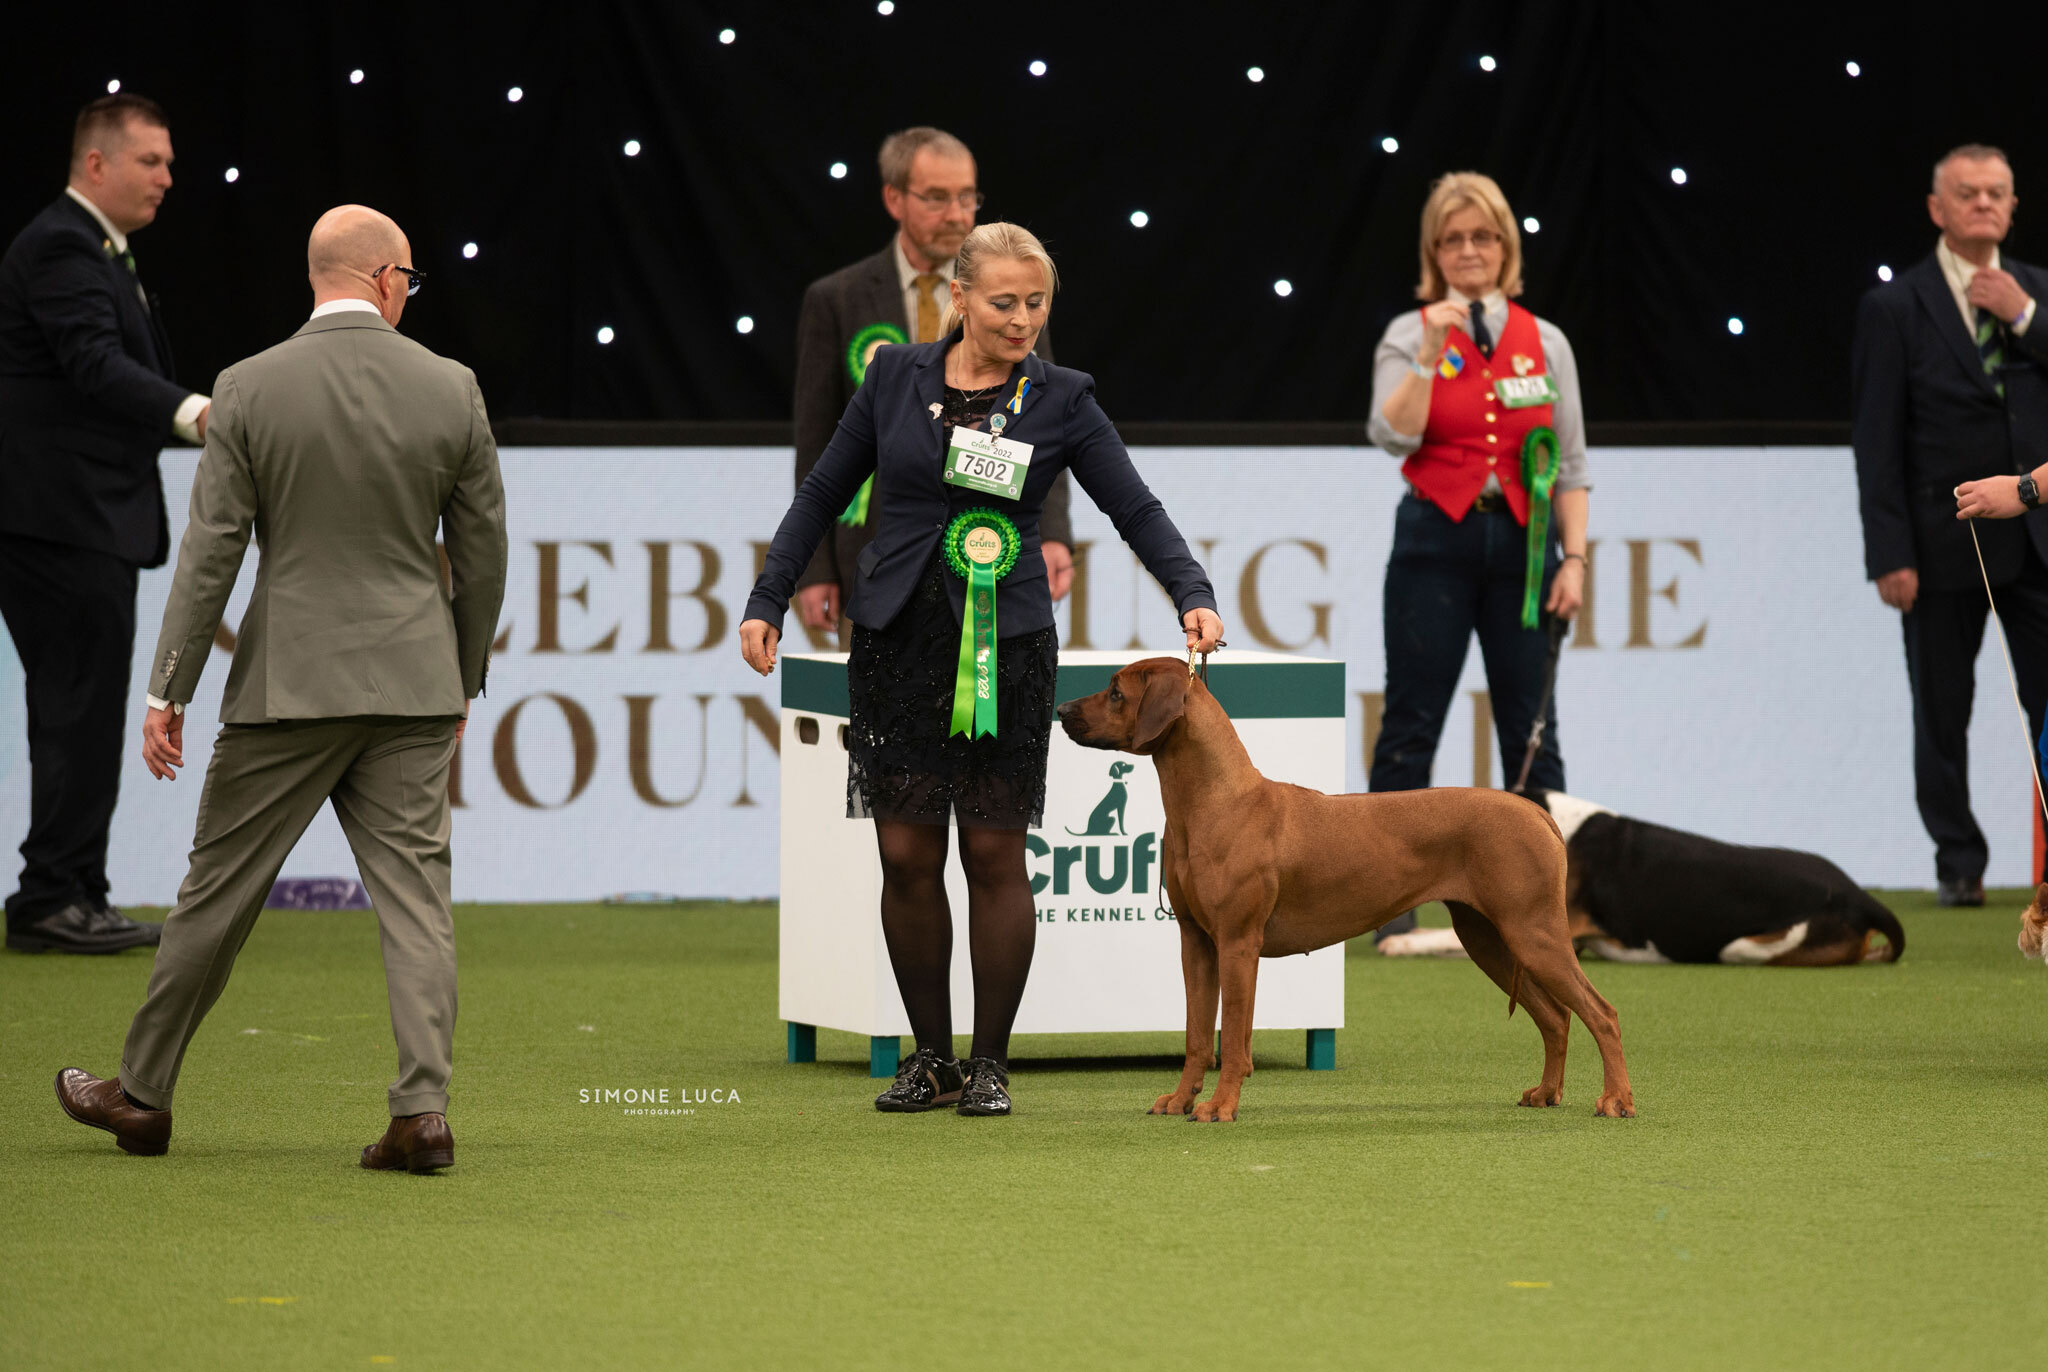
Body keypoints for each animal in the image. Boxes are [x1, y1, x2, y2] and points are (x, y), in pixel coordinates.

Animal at [1064, 659, 1638, 1122]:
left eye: (1115, 692)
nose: (1063, 707)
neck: (1215, 801)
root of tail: (1536, 810)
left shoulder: (1238, 943)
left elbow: (1236, 1039)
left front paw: (1221, 1106)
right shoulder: (1197, 944)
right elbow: (1198, 1037)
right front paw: (1183, 1099)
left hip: (1533, 932)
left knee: (1602, 1013)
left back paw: (1616, 1100)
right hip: (1489, 940)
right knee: (1557, 1017)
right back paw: (1546, 1093)